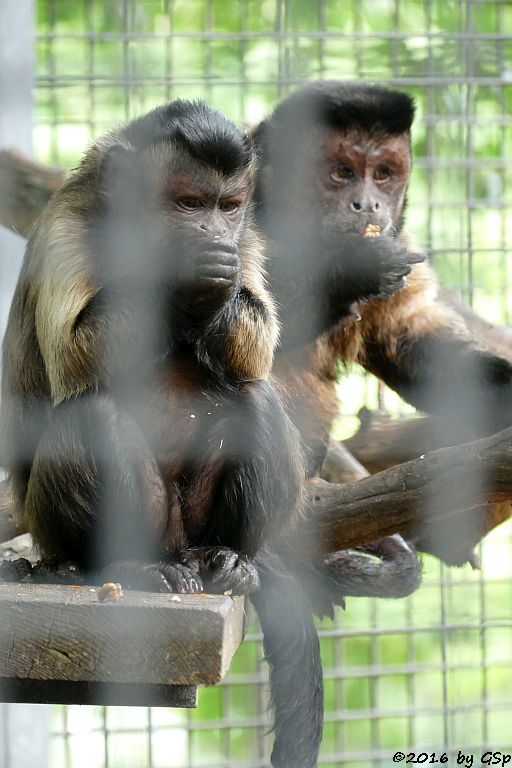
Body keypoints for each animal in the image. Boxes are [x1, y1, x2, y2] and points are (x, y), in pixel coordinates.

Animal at [1, 99, 324, 764]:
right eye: (187, 203)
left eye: (227, 206)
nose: (213, 234)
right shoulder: (68, 227)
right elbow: (73, 361)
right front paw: (177, 269)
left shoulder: (248, 238)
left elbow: (256, 347)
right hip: (66, 526)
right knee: (89, 413)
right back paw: (127, 567)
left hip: (192, 523)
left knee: (254, 398)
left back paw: (229, 559)